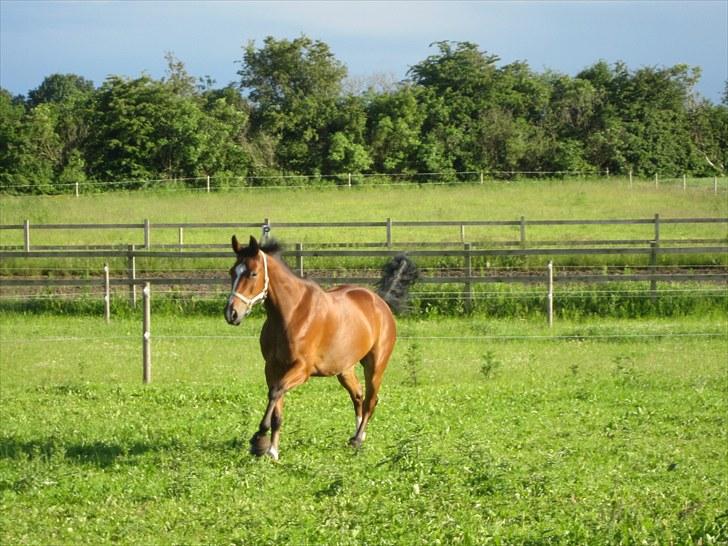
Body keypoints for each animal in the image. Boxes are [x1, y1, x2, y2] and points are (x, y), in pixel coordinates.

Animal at [225, 235, 416, 460]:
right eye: (232, 272)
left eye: (253, 273)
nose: (232, 313)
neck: (291, 314)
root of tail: (381, 302)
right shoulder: (273, 368)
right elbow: (276, 405)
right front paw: (272, 450)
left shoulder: (302, 369)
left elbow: (275, 393)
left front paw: (259, 440)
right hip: (345, 369)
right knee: (358, 396)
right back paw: (357, 437)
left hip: (376, 365)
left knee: (371, 400)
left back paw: (358, 440)